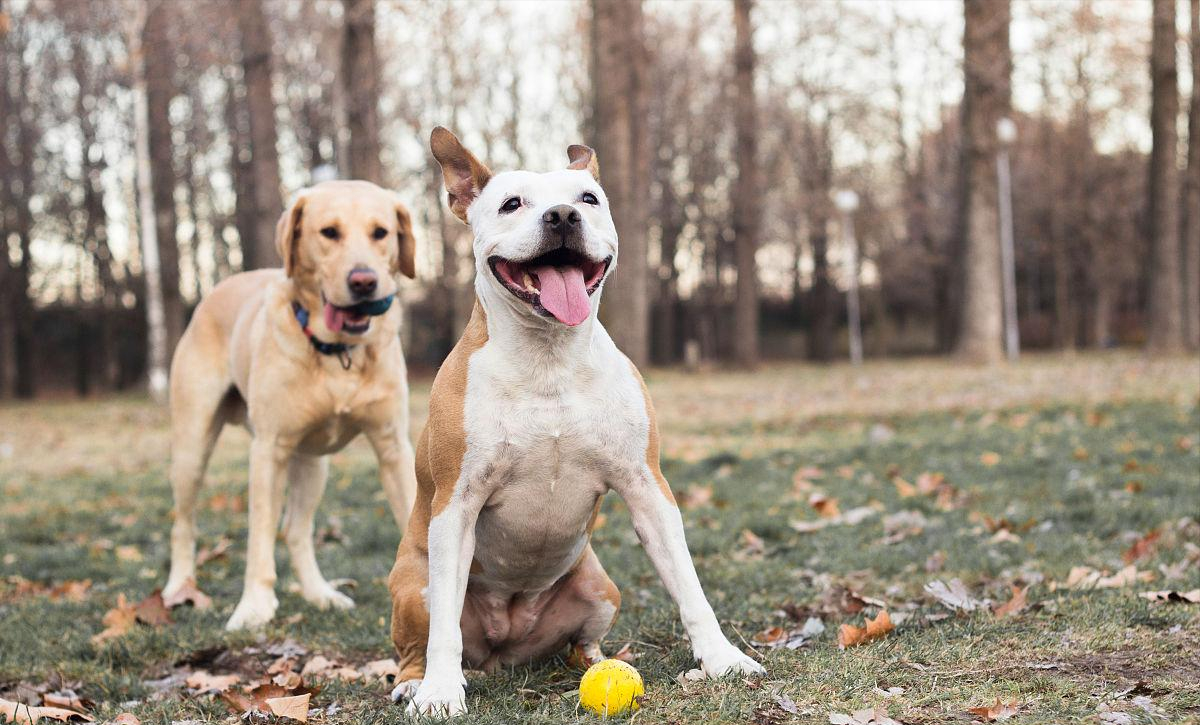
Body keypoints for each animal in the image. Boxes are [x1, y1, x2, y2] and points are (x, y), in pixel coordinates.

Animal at [162, 180, 420, 628]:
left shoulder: (393, 447)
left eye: (381, 233)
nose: (364, 282)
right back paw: (179, 588)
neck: (338, 353)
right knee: (184, 525)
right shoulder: (269, 450)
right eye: (329, 232)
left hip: (314, 463)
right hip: (192, 447)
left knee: (296, 531)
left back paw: (320, 594)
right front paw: (254, 606)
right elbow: (259, 537)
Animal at [388, 127, 763, 715]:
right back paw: (412, 680)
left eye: (588, 199)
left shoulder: (647, 487)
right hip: (413, 586)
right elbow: (443, 627)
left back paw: (598, 664)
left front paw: (722, 660)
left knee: (579, 642)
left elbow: (688, 585)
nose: (562, 215)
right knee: (418, 639)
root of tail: (503, 645)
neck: (550, 358)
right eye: (511, 203)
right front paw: (440, 692)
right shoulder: (456, 503)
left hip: (599, 588)